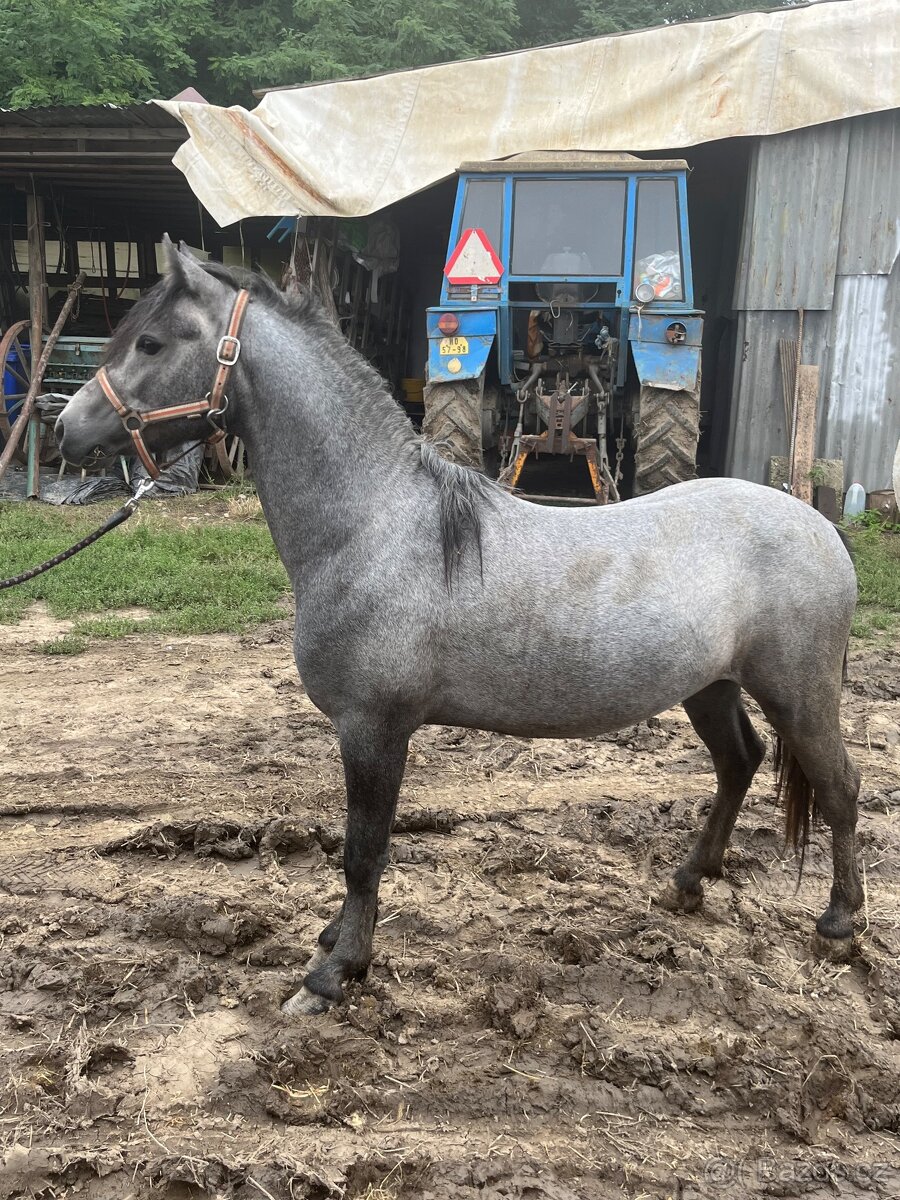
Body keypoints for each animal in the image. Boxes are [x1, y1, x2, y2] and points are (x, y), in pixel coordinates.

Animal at [56, 239, 863, 1016]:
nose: (66, 427)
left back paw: (839, 923)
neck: (377, 526)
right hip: (711, 686)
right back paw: (689, 881)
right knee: (739, 763)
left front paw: (335, 974)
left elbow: (364, 850)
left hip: (798, 691)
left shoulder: (373, 726)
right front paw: (337, 939)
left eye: (152, 342)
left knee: (839, 787)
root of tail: (819, 526)